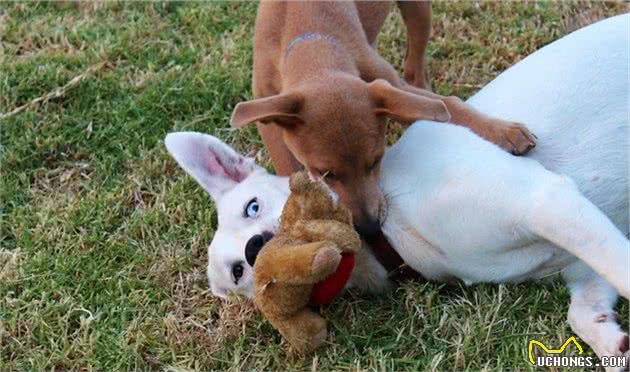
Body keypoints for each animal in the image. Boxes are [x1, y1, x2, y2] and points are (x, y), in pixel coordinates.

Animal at [230, 0, 536, 235]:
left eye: (377, 160)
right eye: (324, 173)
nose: (369, 228)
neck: (309, 40)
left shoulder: (385, 84)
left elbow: (449, 105)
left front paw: (505, 132)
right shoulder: (267, 114)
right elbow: (286, 166)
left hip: (417, 10)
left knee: (415, 64)